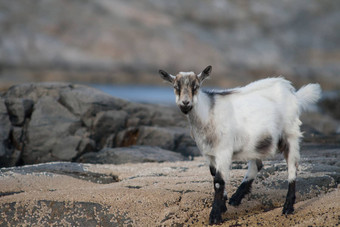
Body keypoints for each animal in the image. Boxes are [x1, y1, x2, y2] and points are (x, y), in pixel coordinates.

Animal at [158, 66, 320, 225]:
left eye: (196, 87)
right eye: (176, 87)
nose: (185, 103)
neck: (208, 113)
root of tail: (293, 93)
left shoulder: (224, 150)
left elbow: (218, 181)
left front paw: (215, 216)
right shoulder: (209, 154)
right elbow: (215, 176)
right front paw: (222, 205)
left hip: (290, 134)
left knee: (292, 167)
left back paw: (288, 207)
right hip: (257, 142)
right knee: (256, 165)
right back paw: (236, 197)